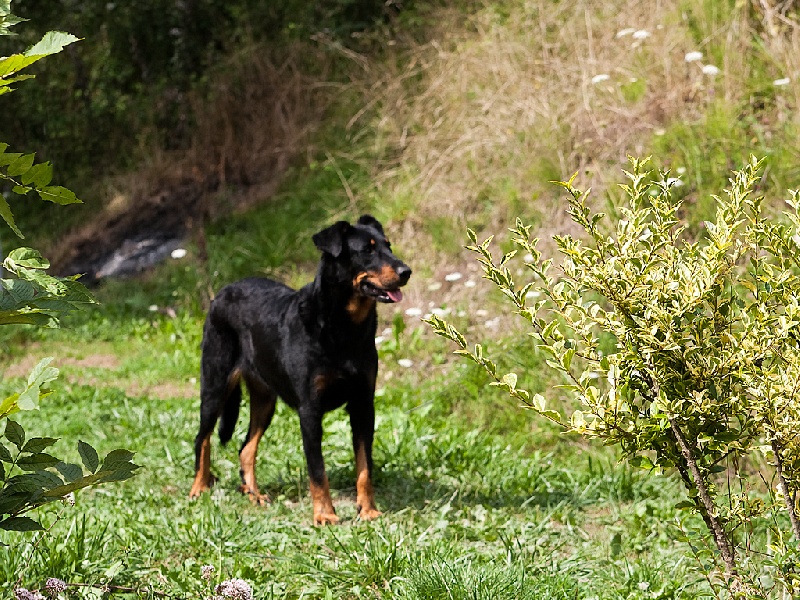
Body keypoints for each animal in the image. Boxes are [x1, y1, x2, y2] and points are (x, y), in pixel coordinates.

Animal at [188, 213, 412, 524]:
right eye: (367, 251)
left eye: (388, 246)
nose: (406, 271)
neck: (342, 328)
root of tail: (221, 292)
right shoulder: (310, 410)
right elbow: (317, 471)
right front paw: (325, 515)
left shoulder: (363, 404)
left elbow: (365, 467)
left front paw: (367, 510)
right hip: (215, 384)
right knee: (203, 438)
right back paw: (199, 489)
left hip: (265, 399)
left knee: (245, 449)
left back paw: (254, 494)